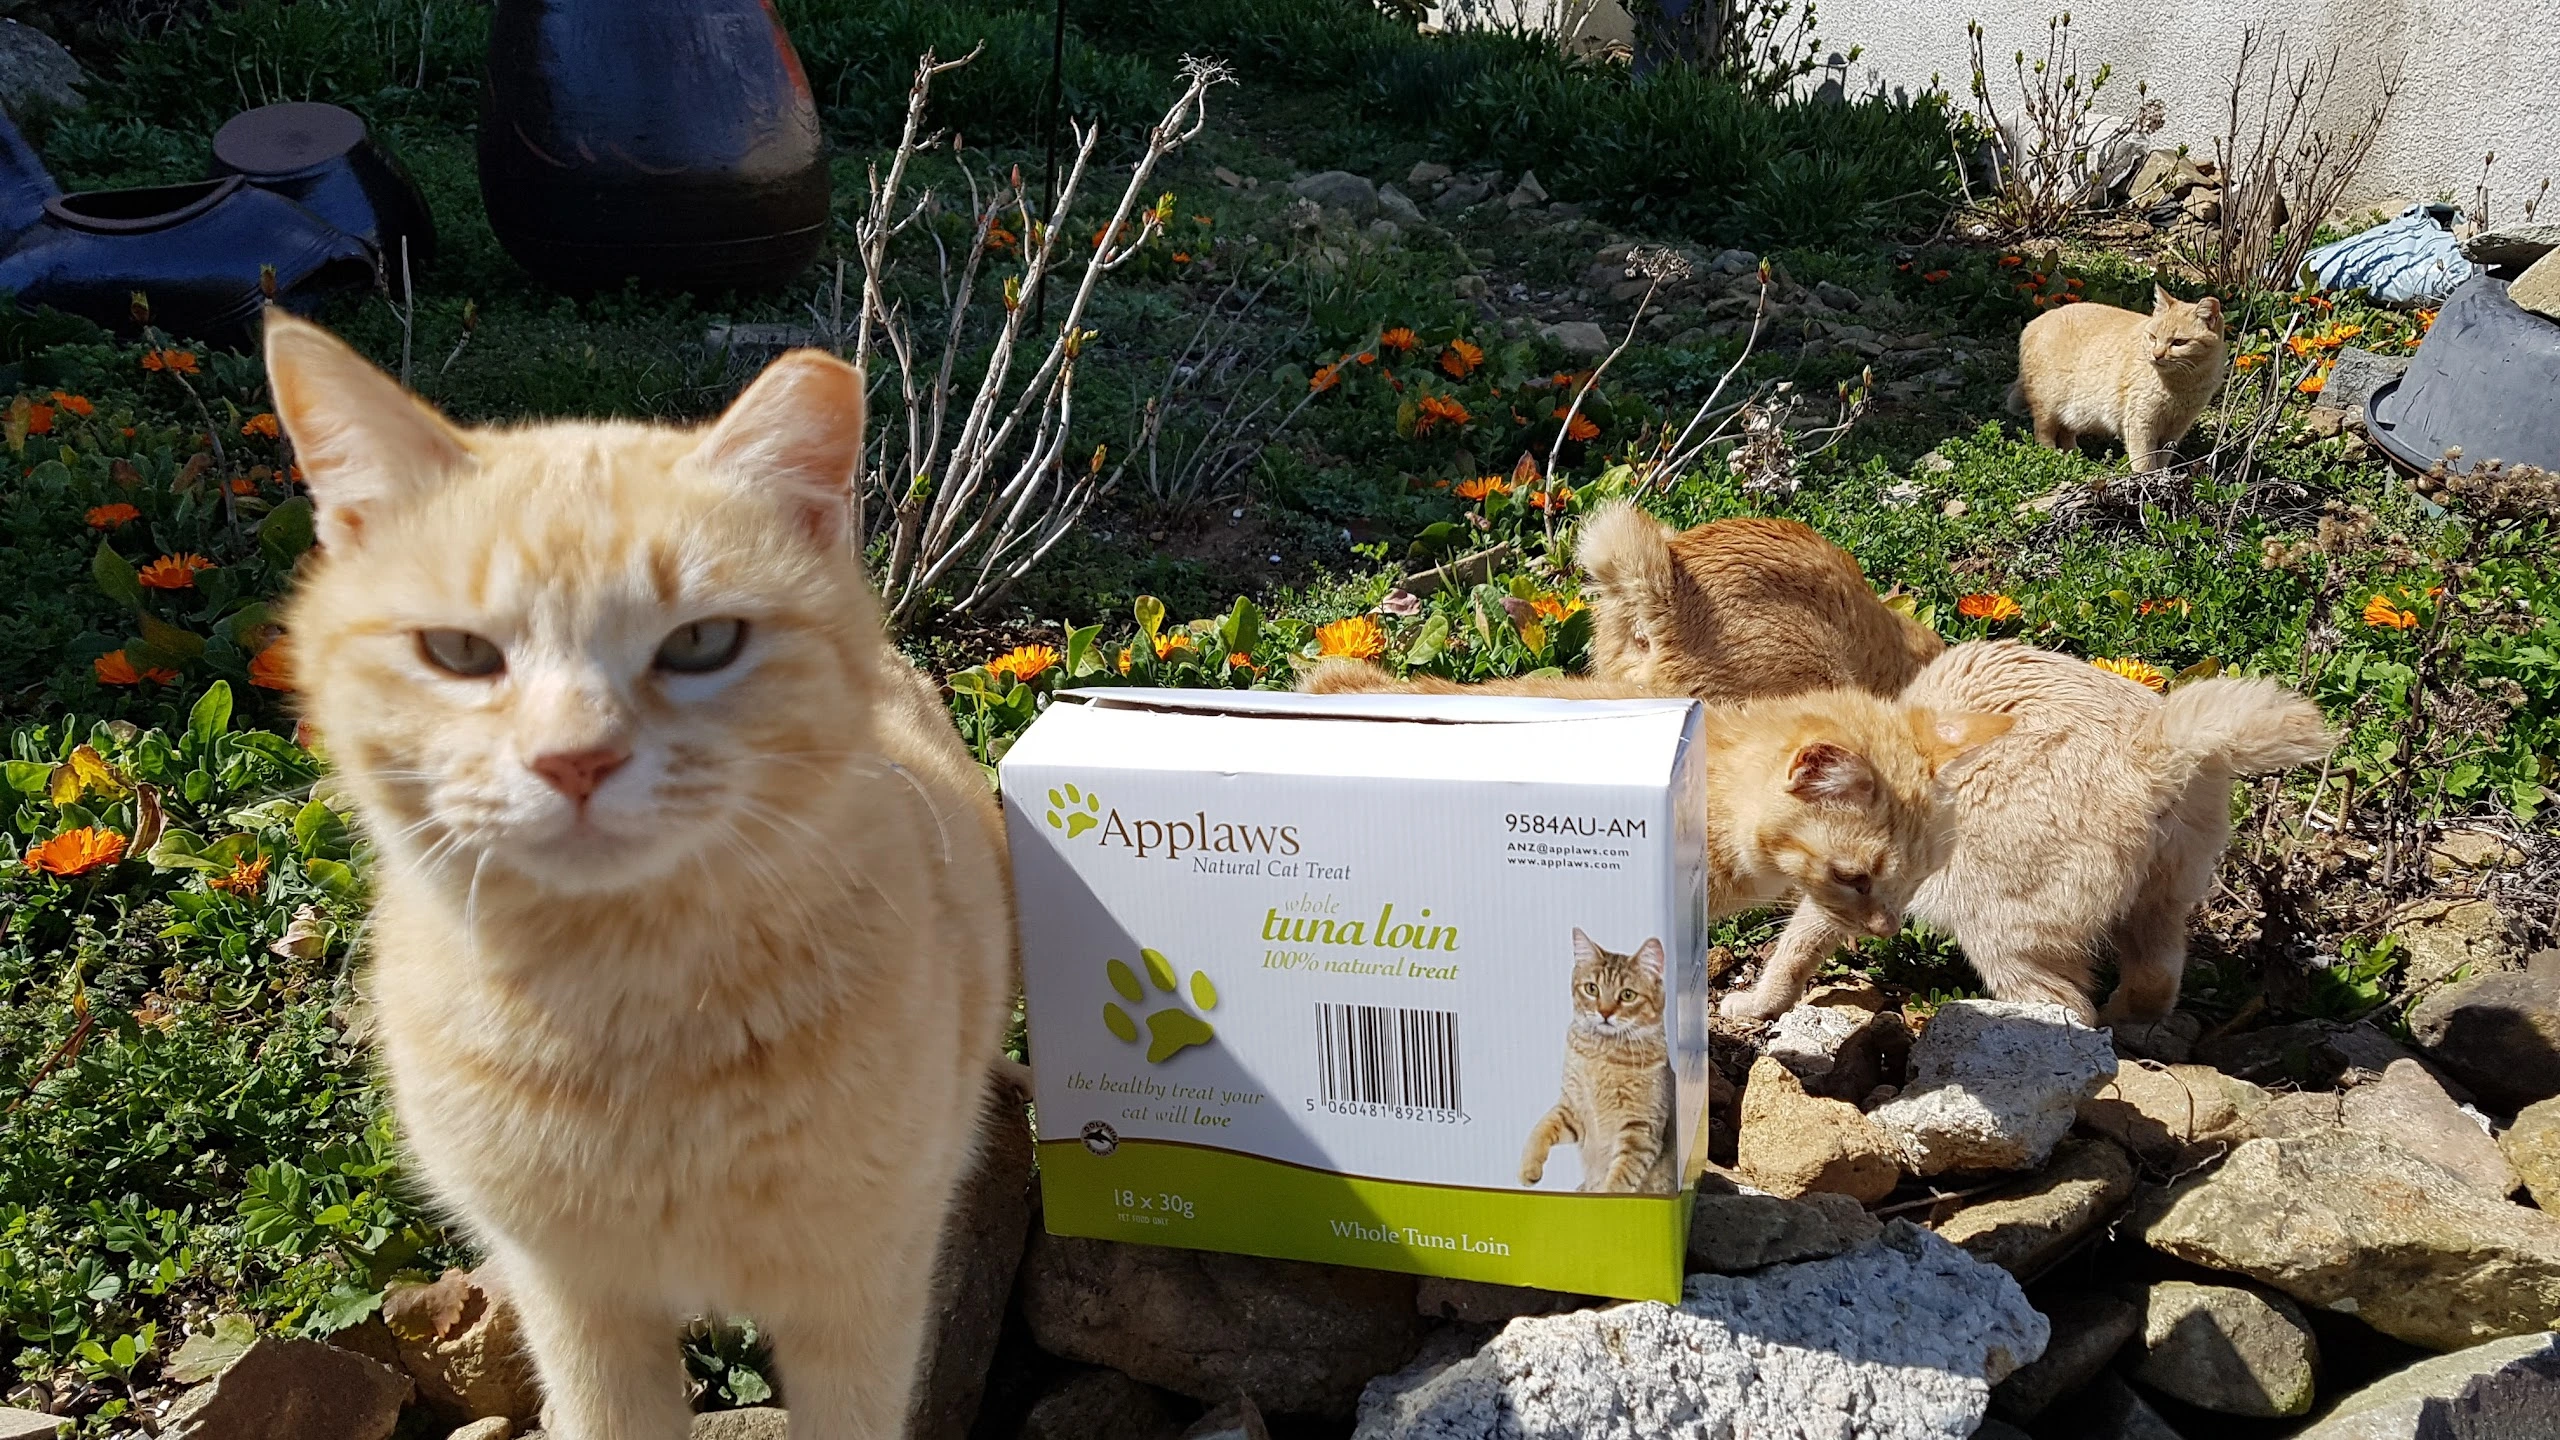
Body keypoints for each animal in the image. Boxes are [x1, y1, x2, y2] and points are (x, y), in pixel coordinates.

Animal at [267, 313, 1014, 1440]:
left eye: (702, 642)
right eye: (457, 652)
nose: (576, 760)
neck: (632, 1013)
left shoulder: (864, 1297)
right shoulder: (576, 1302)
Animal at [1520, 930, 1676, 1194]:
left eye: (1627, 995)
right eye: (1592, 989)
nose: (1604, 1012)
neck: (1601, 1054)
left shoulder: (1640, 1129)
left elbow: (1619, 1181)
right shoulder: (1573, 1108)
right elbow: (1541, 1128)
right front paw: (1528, 1167)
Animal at [1719, 641, 2334, 1026]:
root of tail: (2153, 749)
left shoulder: (1860, 883)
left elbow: (1796, 945)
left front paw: (1757, 1004)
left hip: (2000, 928)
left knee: (2068, 1012)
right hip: (2159, 901)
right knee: (2155, 980)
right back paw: (2128, 1026)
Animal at [2009, 284, 2228, 473]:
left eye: (2179, 342)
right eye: (2153, 337)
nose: (2156, 355)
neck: (2182, 384)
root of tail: (2033, 323)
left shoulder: (2176, 428)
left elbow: (2162, 456)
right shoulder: (2140, 422)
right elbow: (2144, 461)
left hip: (2073, 410)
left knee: (2065, 433)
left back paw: (2075, 456)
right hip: (2047, 405)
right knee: (2043, 434)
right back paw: (2053, 457)